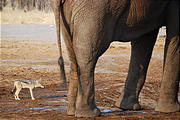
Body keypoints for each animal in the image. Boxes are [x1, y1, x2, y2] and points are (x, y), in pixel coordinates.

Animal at [50, 0, 179, 117]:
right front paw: (171, 110)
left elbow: (144, 39)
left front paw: (128, 107)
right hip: (94, 8)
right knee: (87, 52)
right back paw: (90, 114)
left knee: (72, 54)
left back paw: (72, 112)